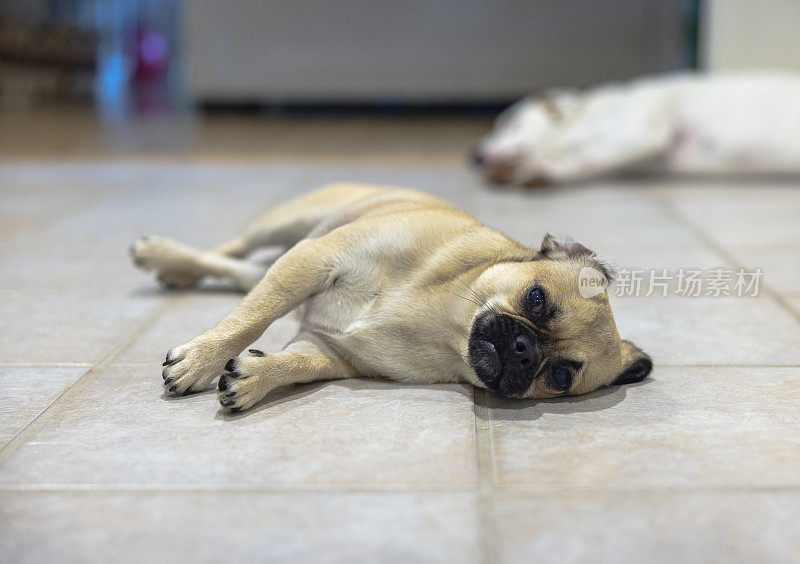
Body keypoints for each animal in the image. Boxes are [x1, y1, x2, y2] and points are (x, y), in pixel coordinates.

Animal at [128, 183, 648, 412]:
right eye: (536, 299)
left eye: (559, 376)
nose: (524, 347)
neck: (446, 322)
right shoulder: (315, 259)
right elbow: (252, 319)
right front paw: (201, 360)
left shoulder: (330, 350)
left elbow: (297, 362)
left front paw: (255, 376)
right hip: (292, 225)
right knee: (232, 252)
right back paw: (161, 254)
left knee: (240, 271)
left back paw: (173, 269)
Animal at [472, 71, 800, 186]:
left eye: (511, 123)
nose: (473, 156)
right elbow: (585, 164)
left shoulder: (639, 134)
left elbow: (579, 157)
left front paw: (538, 168)